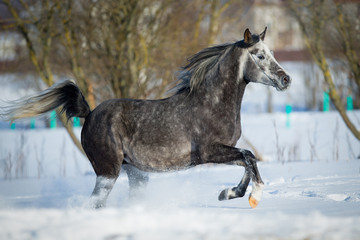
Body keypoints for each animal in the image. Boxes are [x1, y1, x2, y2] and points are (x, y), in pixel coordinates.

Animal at [0, 27, 292, 208]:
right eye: (260, 55)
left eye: (272, 53)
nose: (285, 79)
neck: (211, 103)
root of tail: (90, 113)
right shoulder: (209, 152)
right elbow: (249, 157)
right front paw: (253, 196)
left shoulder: (223, 151)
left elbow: (247, 161)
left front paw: (228, 194)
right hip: (107, 172)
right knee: (94, 204)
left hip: (136, 174)